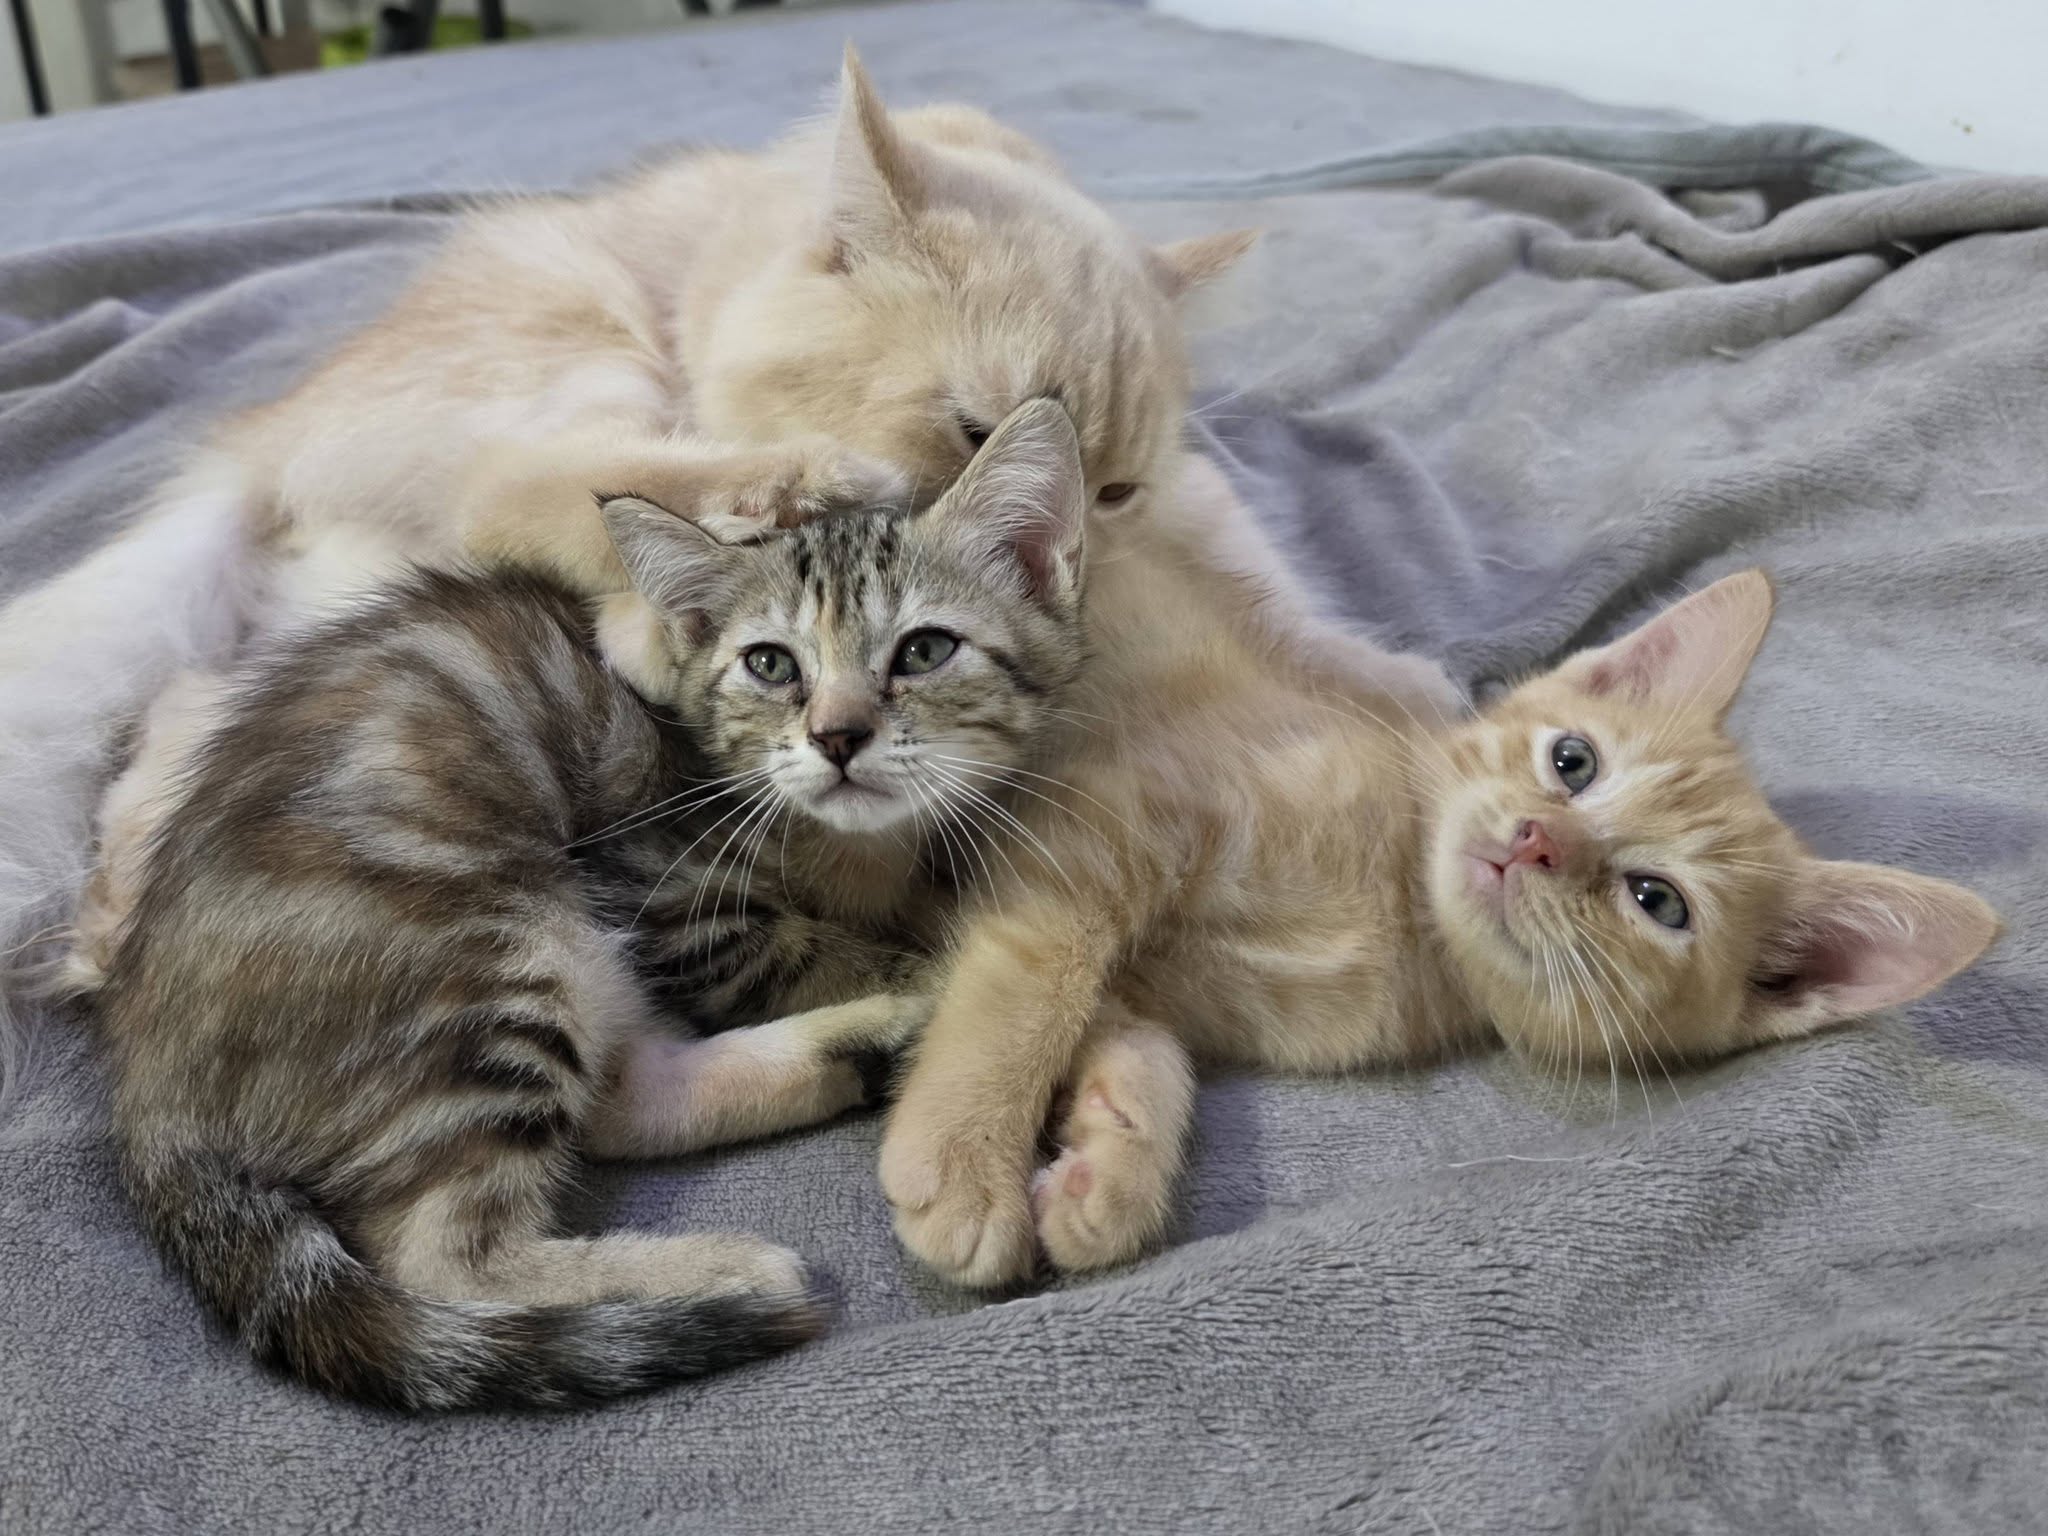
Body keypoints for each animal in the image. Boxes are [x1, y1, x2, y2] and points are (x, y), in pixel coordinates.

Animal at [8, 48, 1448, 1113]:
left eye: (1117, 490)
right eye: (977, 426)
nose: (1076, 535)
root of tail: (266, 438)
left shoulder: (1193, 509)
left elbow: (1277, 587)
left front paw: (1399, 683)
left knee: (196, 711)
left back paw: (117, 903)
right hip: (564, 341)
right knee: (528, 491)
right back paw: (753, 514)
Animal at [96, 399, 1089, 1409]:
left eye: (925, 649)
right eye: (771, 665)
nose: (838, 736)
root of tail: (148, 1087)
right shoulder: (669, 895)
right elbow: (815, 952)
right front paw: (933, 969)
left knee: (612, 1100)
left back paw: (855, 1047)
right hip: (496, 940)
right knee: (453, 1253)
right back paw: (719, 1271)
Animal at [871, 556, 2000, 1287]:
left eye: (1657, 901)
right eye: (1572, 761)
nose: (1538, 840)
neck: (1398, 903)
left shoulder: (1152, 960)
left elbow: (1136, 1035)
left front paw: (1112, 1163)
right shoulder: (1103, 815)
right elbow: (1037, 968)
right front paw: (963, 1159)